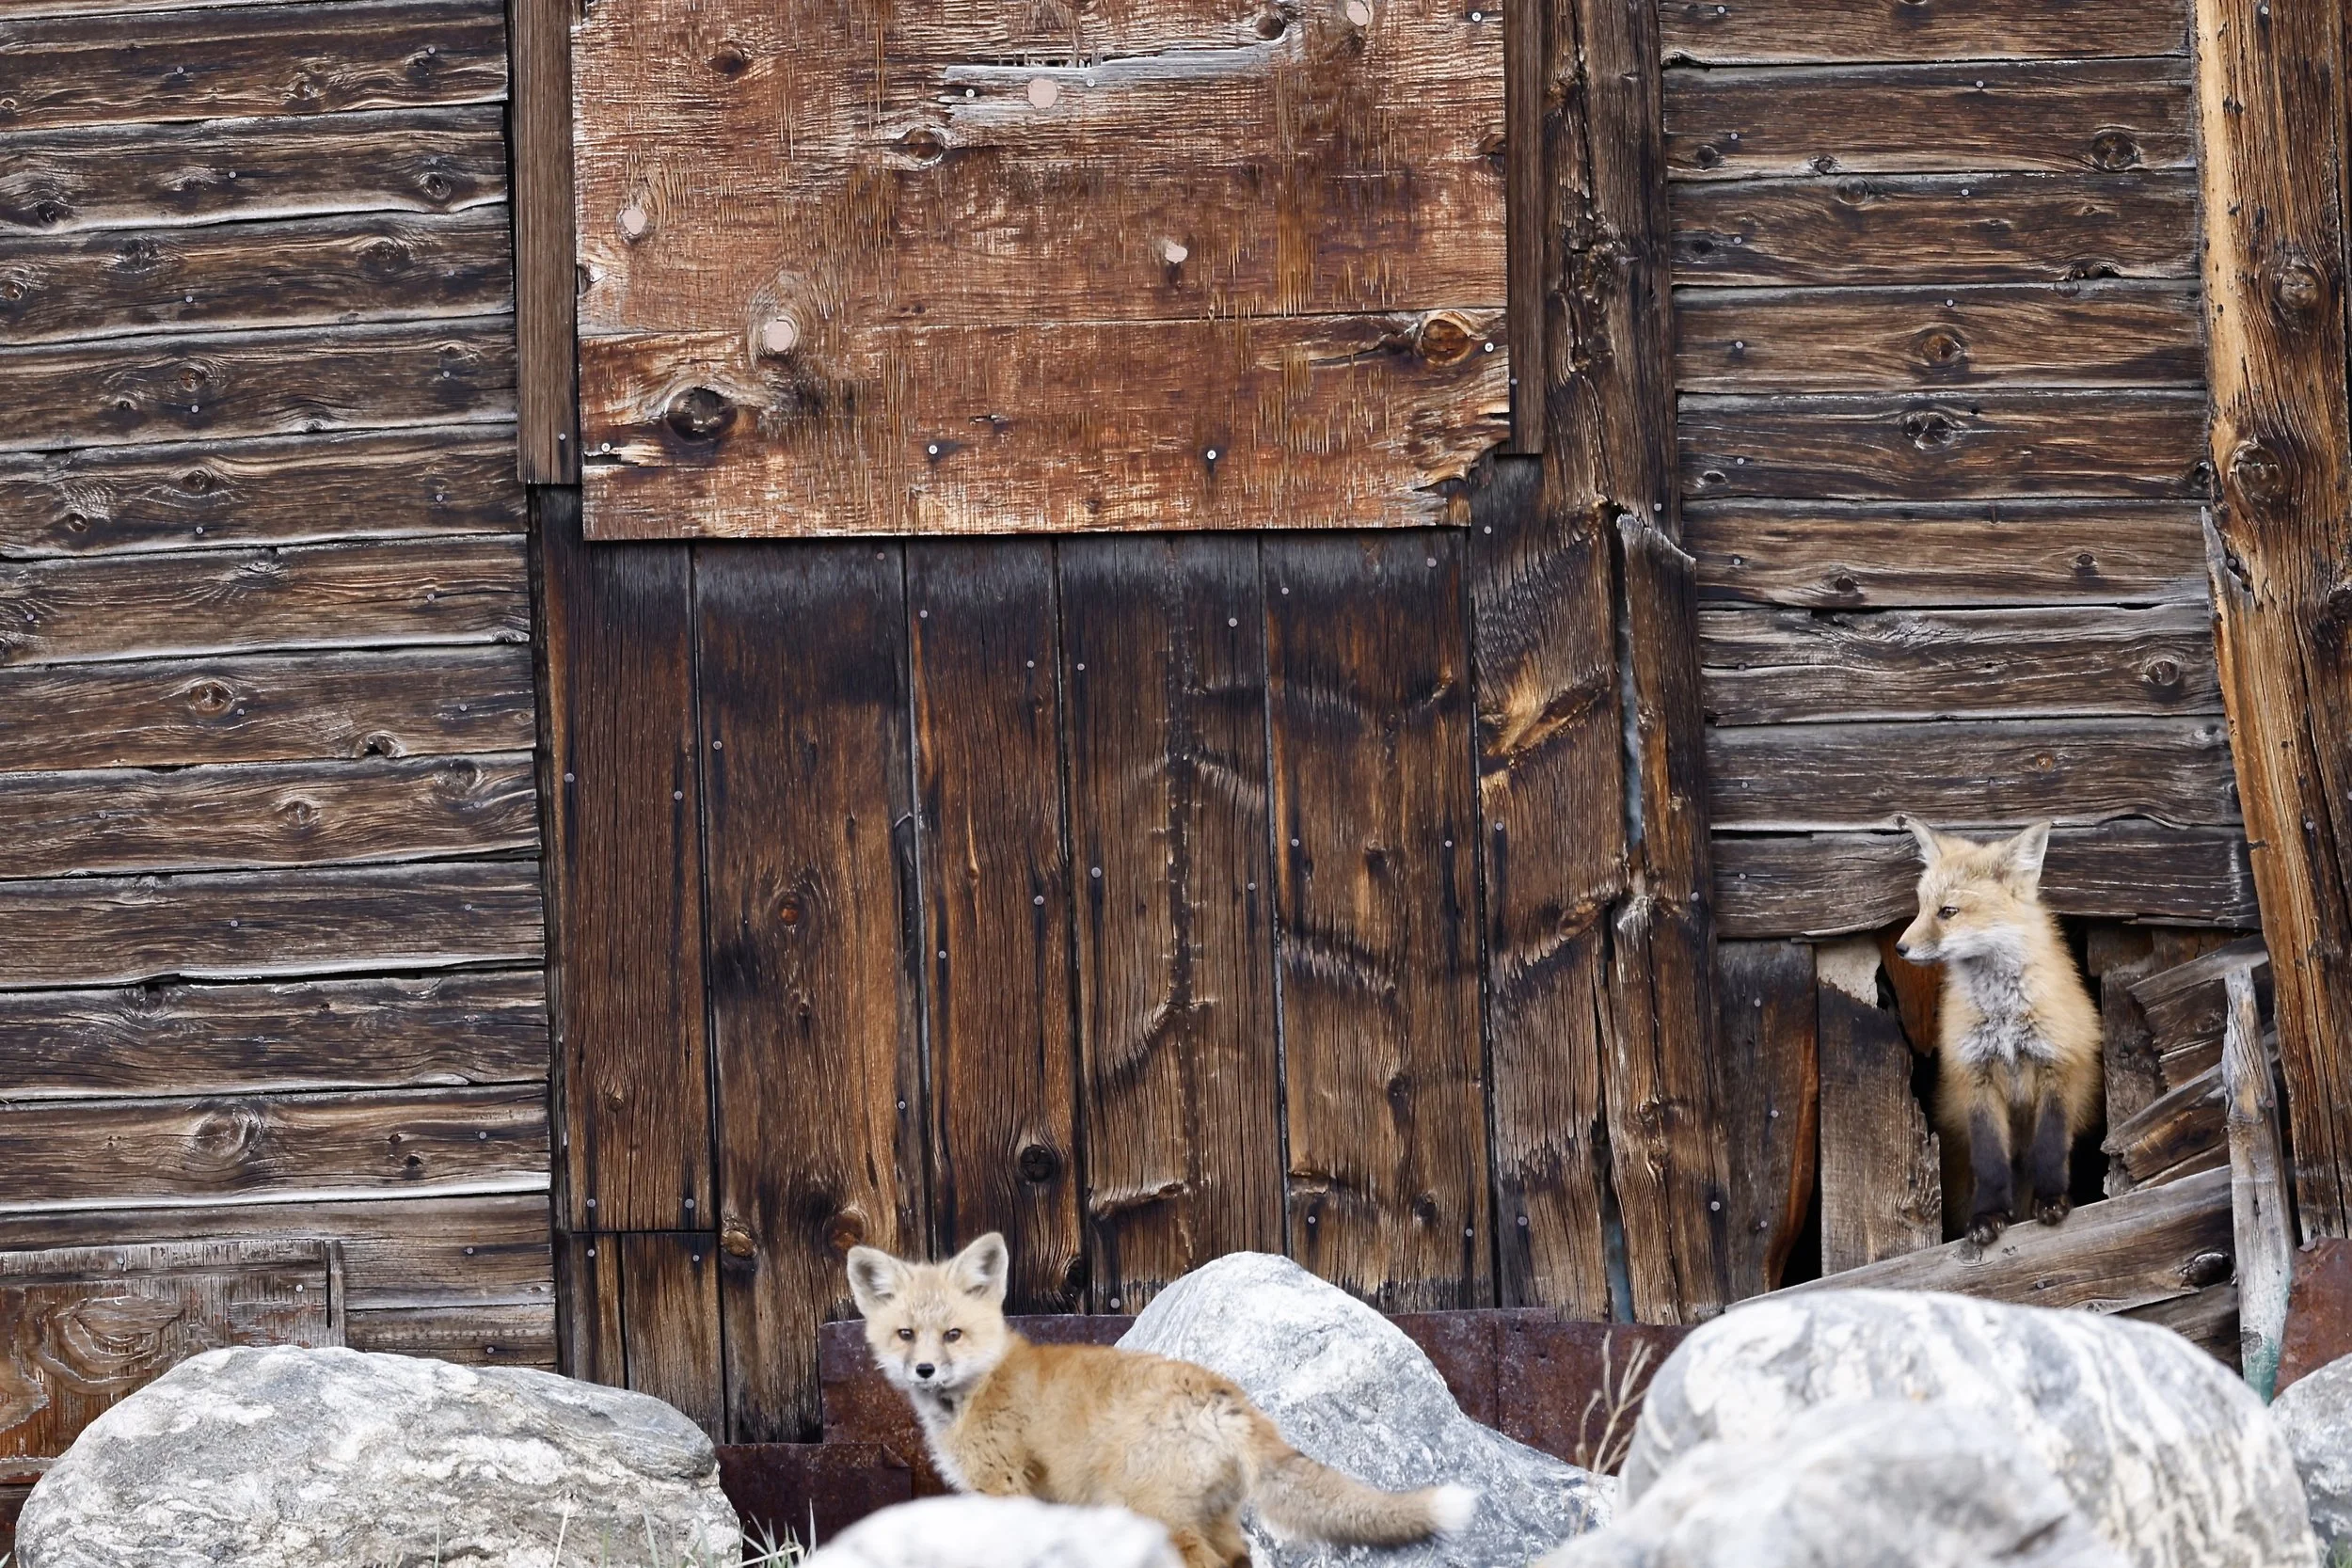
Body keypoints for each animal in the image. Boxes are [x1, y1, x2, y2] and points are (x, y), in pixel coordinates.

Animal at [845, 1234, 1477, 1568]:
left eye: (952, 1335)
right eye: (906, 1334)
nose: (925, 1370)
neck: (976, 1391)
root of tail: (1223, 1396)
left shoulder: (1004, 1490)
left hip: (1155, 1515)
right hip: (1209, 1518)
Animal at [1893, 816, 2102, 1249]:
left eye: (1948, 911)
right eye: (1922, 908)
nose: (1900, 948)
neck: (2003, 1017)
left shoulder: (2058, 1065)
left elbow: (2051, 1147)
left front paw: (2053, 1201)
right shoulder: (1976, 1075)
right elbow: (1990, 1161)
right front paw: (1988, 1217)